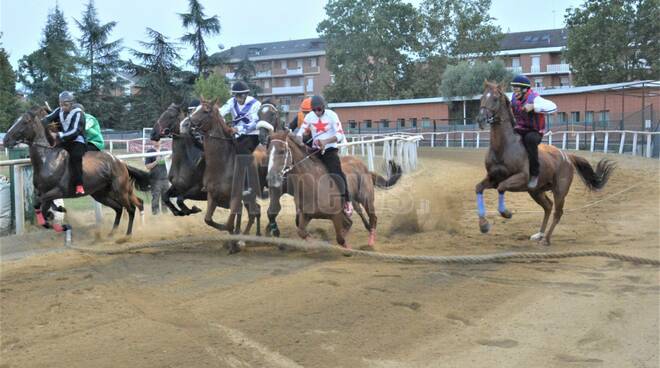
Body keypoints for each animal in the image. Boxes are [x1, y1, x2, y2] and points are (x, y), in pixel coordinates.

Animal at [2, 106, 150, 236]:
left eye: (25, 121)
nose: (5, 139)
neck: (48, 159)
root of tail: (120, 162)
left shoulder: (58, 191)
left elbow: (41, 205)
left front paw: (60, 220)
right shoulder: (43, 192)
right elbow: (42, 208)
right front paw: (59, 219)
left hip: (120, 191)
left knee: (131, 208)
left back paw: (128, 234)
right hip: (101, 194)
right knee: (120, 208)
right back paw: (112, 233)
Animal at [187, 98, 262, 253]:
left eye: (206, 111)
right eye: (195, 109)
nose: (187, 123)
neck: (222, 164)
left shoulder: (235, 197)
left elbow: (229, 223)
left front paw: (233, 242)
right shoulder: (212, 195)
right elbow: (208, 220)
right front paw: (231, 242)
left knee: (255, 212)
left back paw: (247, 238)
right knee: (254, 211)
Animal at [264, 130, 400, 250]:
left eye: (282, 151)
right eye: (268, 151)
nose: (271, 177)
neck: (313, 184)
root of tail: (365, 167)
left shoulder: (336, 215)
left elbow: (340, 238)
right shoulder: (305, 214)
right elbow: (301, 232)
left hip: (366, 199)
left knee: (373, 219)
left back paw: (370, 243)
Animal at [474, 82, 612, 246]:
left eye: (495, 98)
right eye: (482, 97)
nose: (481, 119)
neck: (504, 147)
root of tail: (567, 156)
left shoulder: (520, 178)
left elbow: (501, 188)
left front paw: (506, 213)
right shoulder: (493, 178)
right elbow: (479, 188)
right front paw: (483, 225)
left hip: (559, 190)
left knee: (557, 212)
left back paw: (546, 239)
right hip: (536, 191)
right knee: (548, 207)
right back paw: (539, 234)